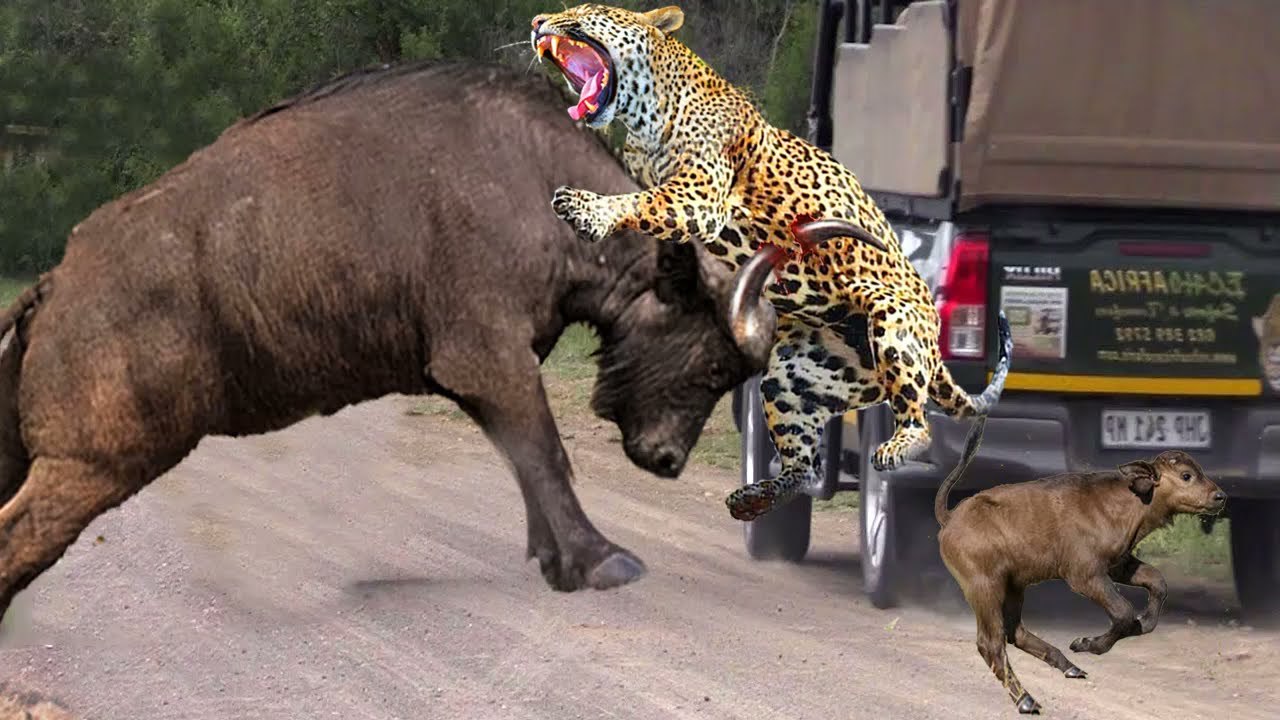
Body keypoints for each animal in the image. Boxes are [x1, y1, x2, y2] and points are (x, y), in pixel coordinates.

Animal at [0, 60, 780, 623]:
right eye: (712, 362)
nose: (668, 460)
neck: (532, 180)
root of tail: (54, 286)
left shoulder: (485, 377)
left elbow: (526, 464)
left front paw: (558, 560)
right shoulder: (490, 362)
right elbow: (547, 458)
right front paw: (600, 561)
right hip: (95, 466)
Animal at [530, 3, 1012, 522]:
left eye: (584, 12)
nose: (538, 22)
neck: (646, 113)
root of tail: (935, 351)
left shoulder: (697, 197)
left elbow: (637, 203)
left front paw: (585, 209)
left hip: (892, 321)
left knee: (918, 426)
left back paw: (894, 447)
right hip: (791, 380)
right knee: (804, 467)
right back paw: (752, 497)